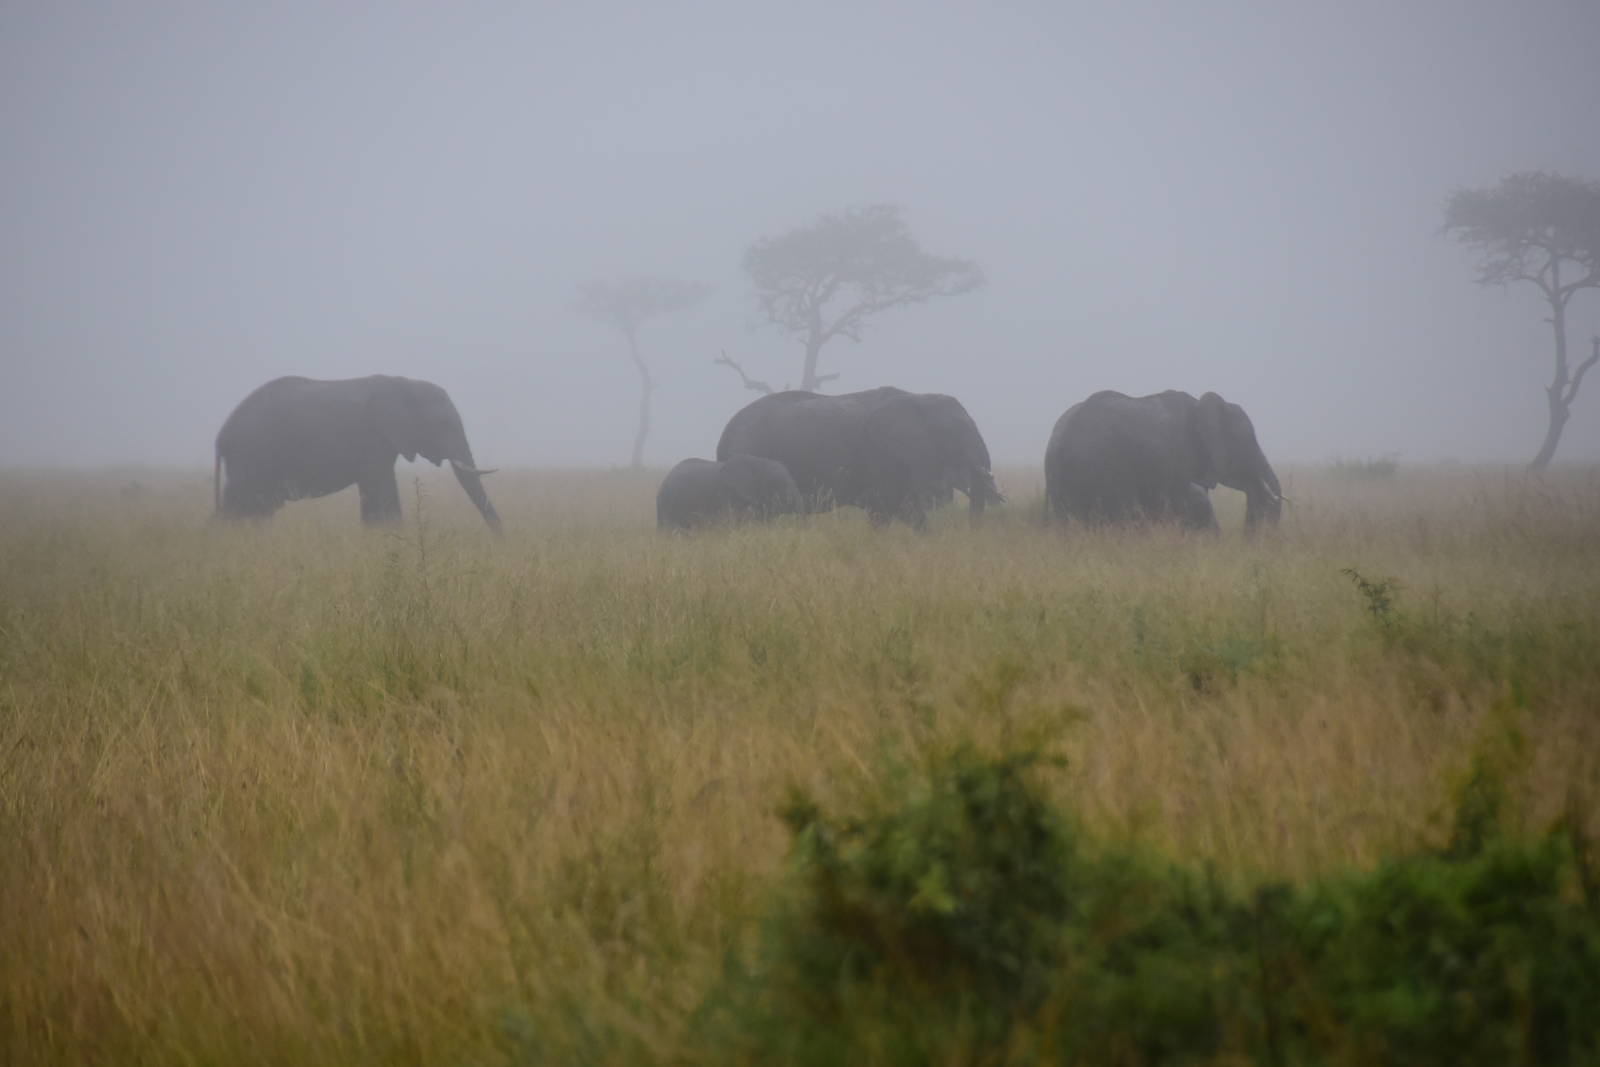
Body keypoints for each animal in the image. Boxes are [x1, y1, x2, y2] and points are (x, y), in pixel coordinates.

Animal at [214, 375, 501, 529]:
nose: (500, 544)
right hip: (251, 457)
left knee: (255, 509)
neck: (404, 383)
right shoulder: (372, 439)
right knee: (238, 507)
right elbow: (382, 493)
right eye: (442, 424)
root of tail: (222, 434)